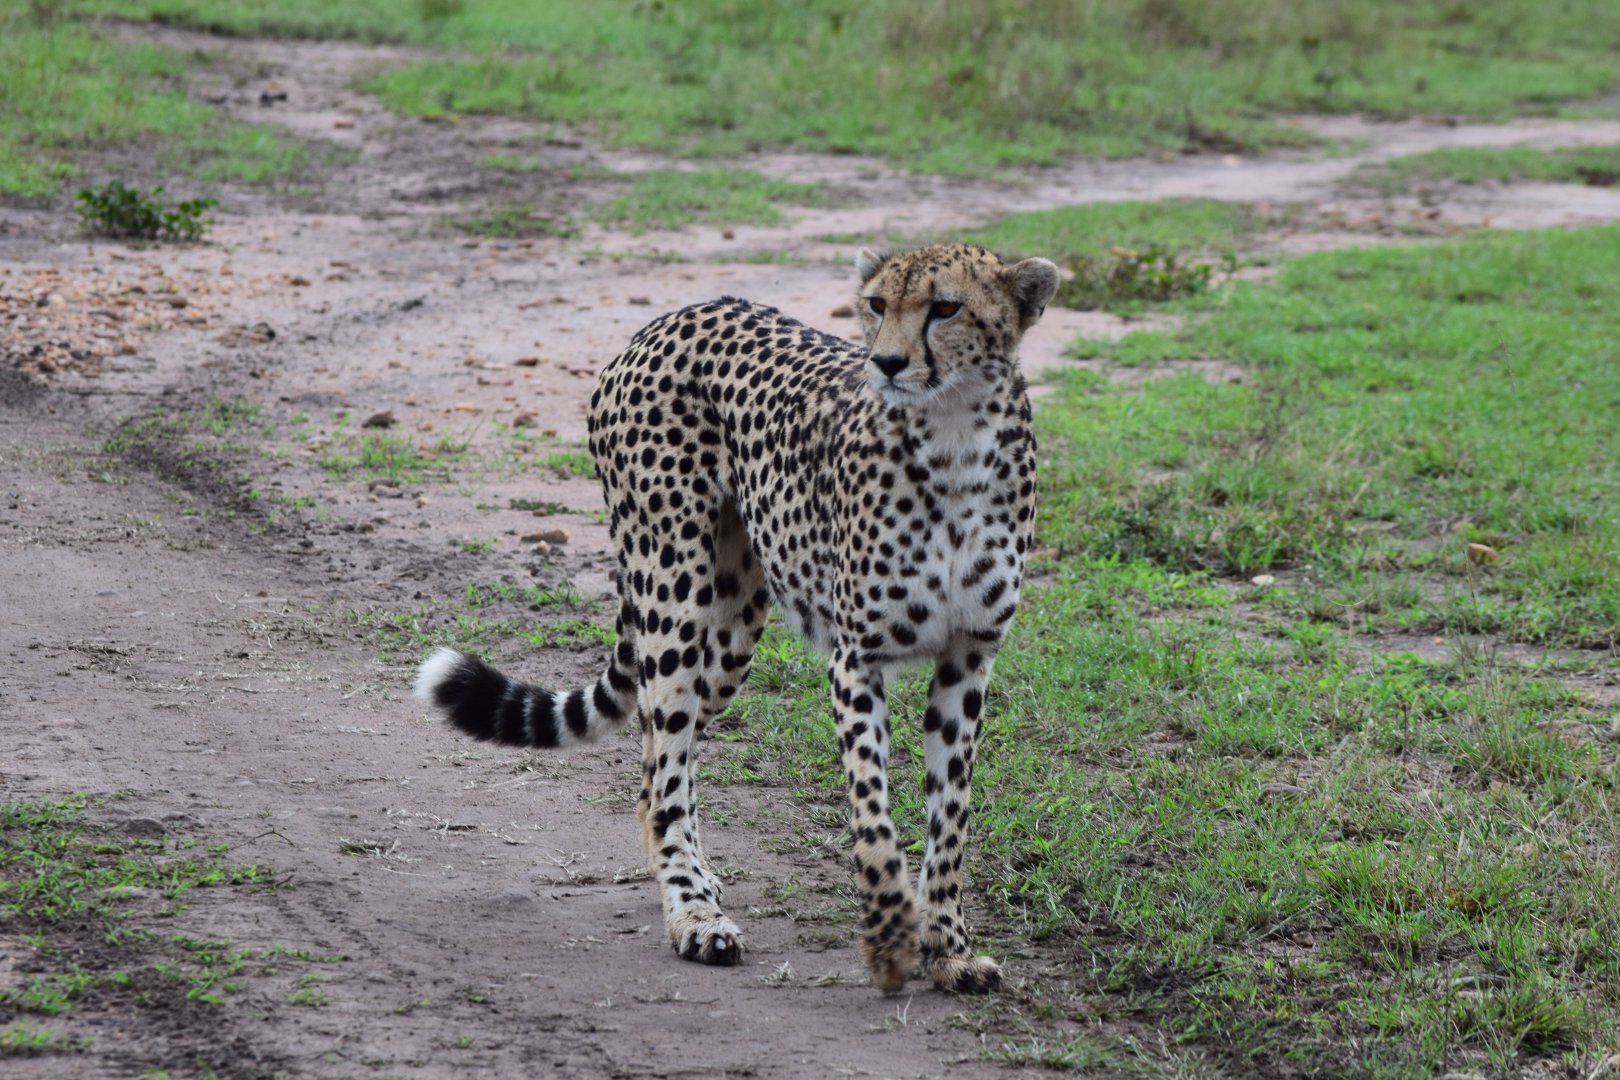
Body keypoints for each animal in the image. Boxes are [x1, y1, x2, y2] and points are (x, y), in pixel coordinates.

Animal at [414, 242, 1058, 994]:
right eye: (877, 304)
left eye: (946, 307)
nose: (888, 363)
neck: (956, 438)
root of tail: (677, 314)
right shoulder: (856, 660)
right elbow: (873, 815)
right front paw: (891, 943)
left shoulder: (968, 657)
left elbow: (949, 815)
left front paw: (950, 946)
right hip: (671, 594)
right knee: (665, 767)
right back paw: (694, 915)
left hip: (728, 640)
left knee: (652, 768)